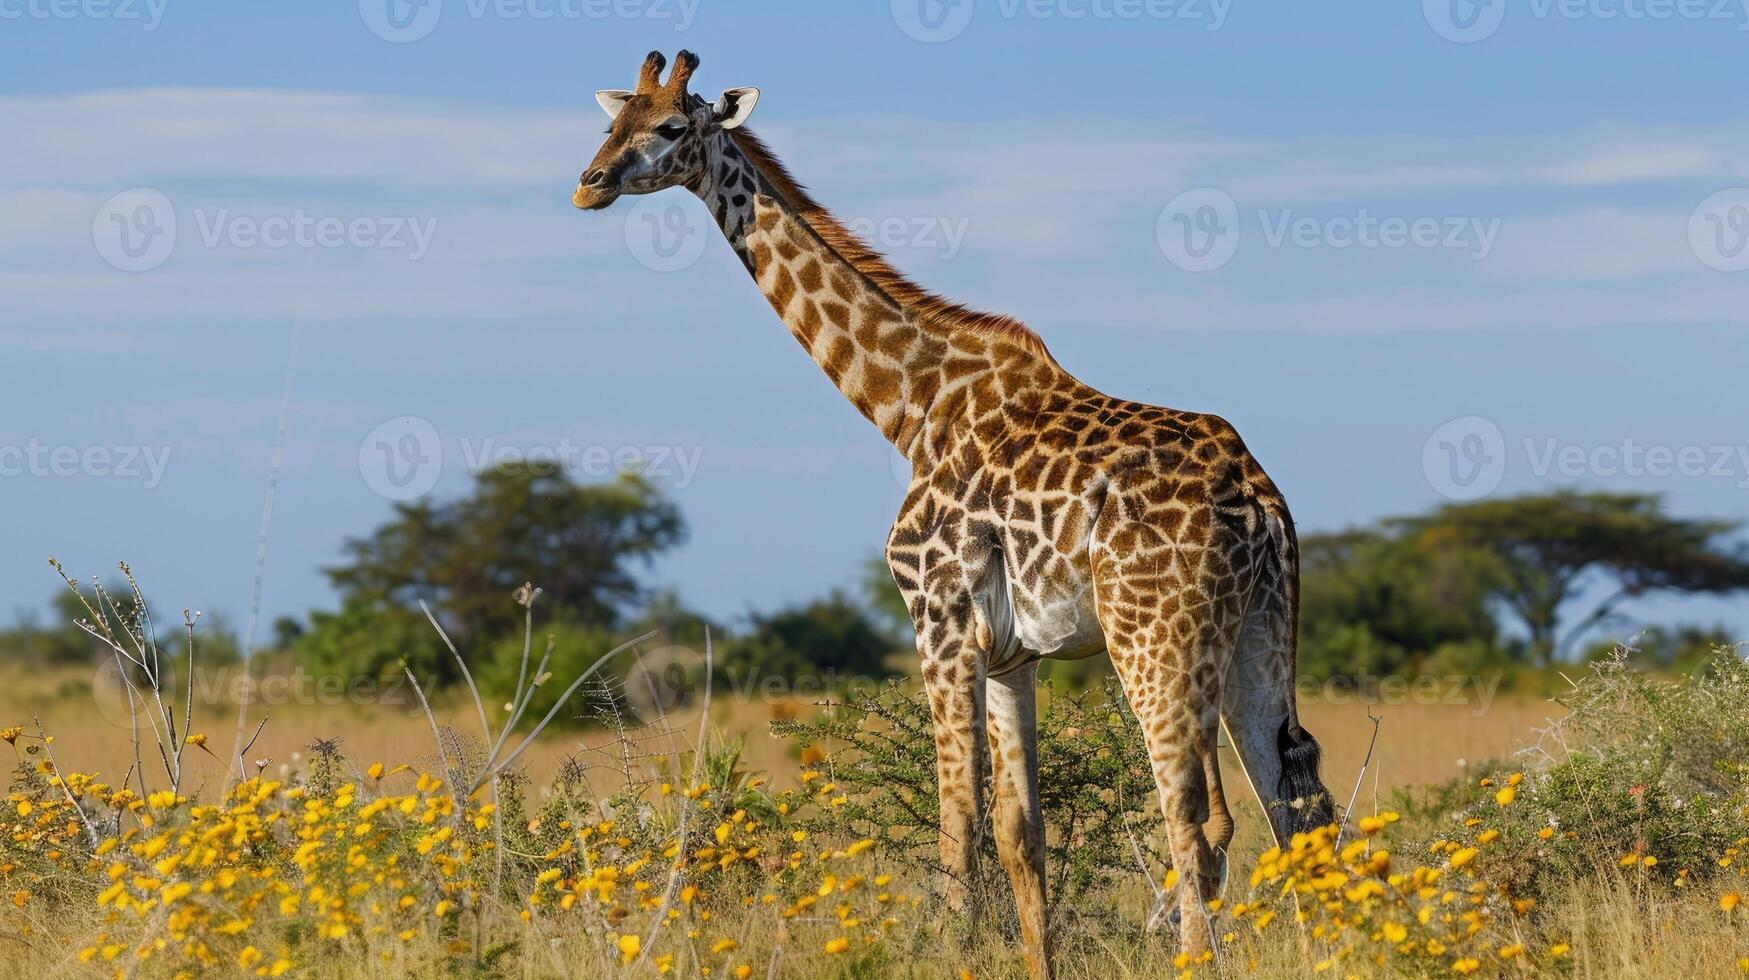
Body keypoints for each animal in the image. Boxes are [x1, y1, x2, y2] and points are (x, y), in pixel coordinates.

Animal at [577, 49, 1336, 973]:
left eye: (670, 126)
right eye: (611, 121)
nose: (588, 184)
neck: (910, 407)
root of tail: (1258, 499)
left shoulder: (936, 620)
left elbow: (957, 823)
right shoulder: (1012, 653)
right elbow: (1019, 831)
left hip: (1153, 638)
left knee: (1198, 817)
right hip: (1256, 633)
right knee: (1295, 802)